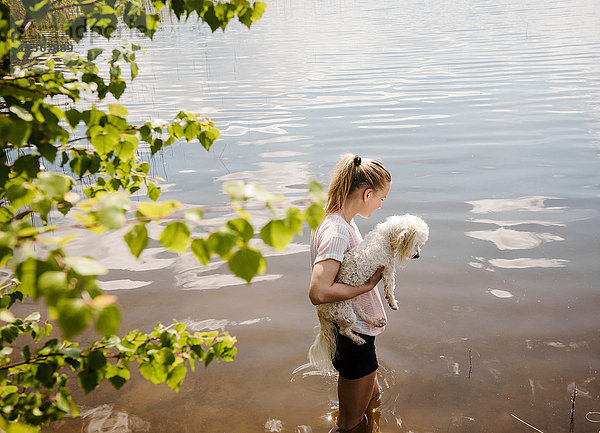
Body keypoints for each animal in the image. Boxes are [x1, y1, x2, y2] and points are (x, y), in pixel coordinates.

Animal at [308, 213, 428, 372]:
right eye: (416, 243)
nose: (418, 256)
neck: (385, 237)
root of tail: (319, 310)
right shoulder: (388, 269)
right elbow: (390, 287)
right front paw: (393, 303)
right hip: (345, 314)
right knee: (344, 331)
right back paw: (358, 339)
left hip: (353, 304)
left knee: (363, 315)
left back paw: (376, 322)